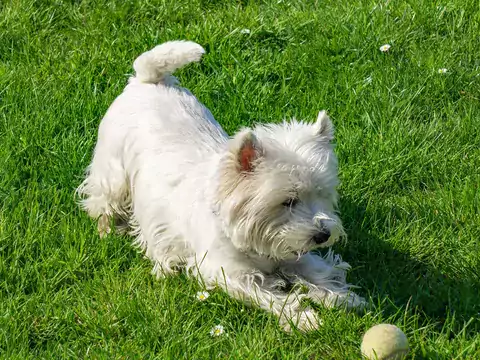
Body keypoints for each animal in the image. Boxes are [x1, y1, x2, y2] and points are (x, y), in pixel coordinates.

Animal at [77, 40, 366, 332]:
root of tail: (147, 79)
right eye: (287, 201)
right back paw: (108, 230)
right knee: (102, 200)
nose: (323, 235)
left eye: (322, 195)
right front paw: (304, 318)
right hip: (113, 171)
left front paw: (344, 297)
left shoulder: (290, 252)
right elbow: (272, 296)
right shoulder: (227, 272)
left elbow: (318, 270)